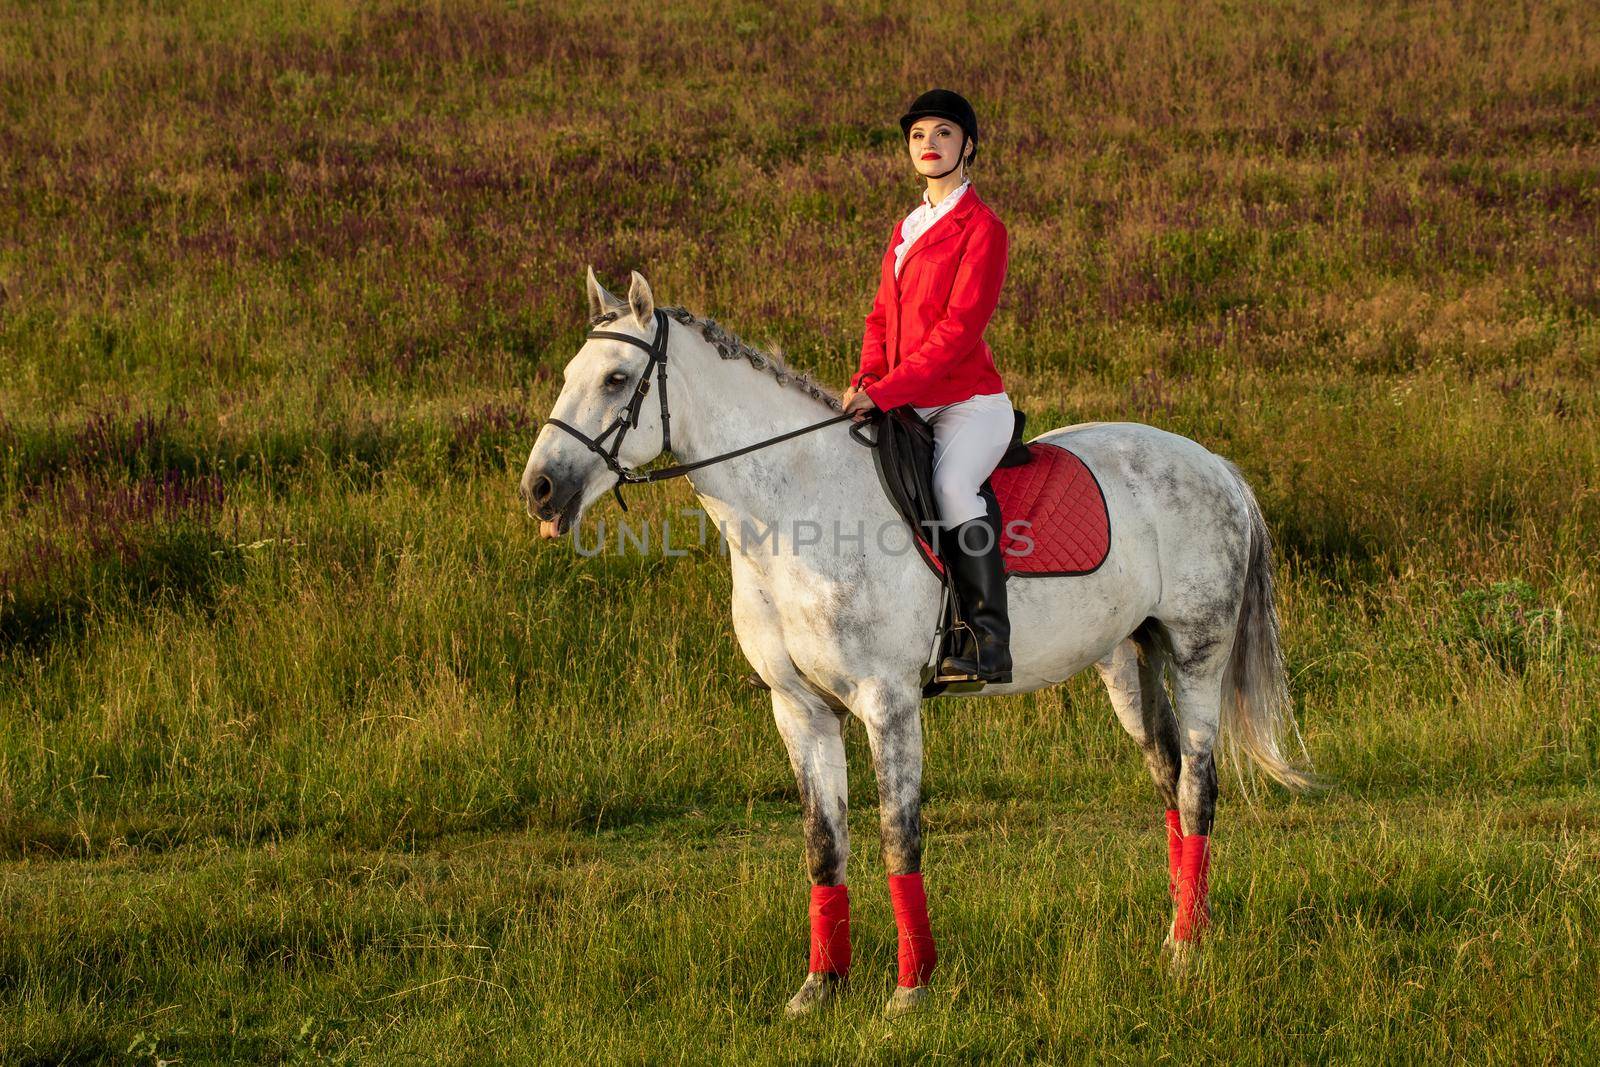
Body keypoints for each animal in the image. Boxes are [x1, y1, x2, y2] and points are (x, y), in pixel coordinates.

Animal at [524, 267, 1312, 1017]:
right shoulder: (799, 709)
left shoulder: (889, 701)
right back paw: (1178, 935)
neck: (796, 514)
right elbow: (824, 845)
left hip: (1198, 651)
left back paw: (1186, 952)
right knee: (1169, 779)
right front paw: (820, 987)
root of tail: (1215, 465)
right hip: (1128, 661)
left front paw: (910, 992)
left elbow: (898, 838)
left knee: (1199, 784)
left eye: (616, 379)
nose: (540, 488)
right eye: (568, 374)